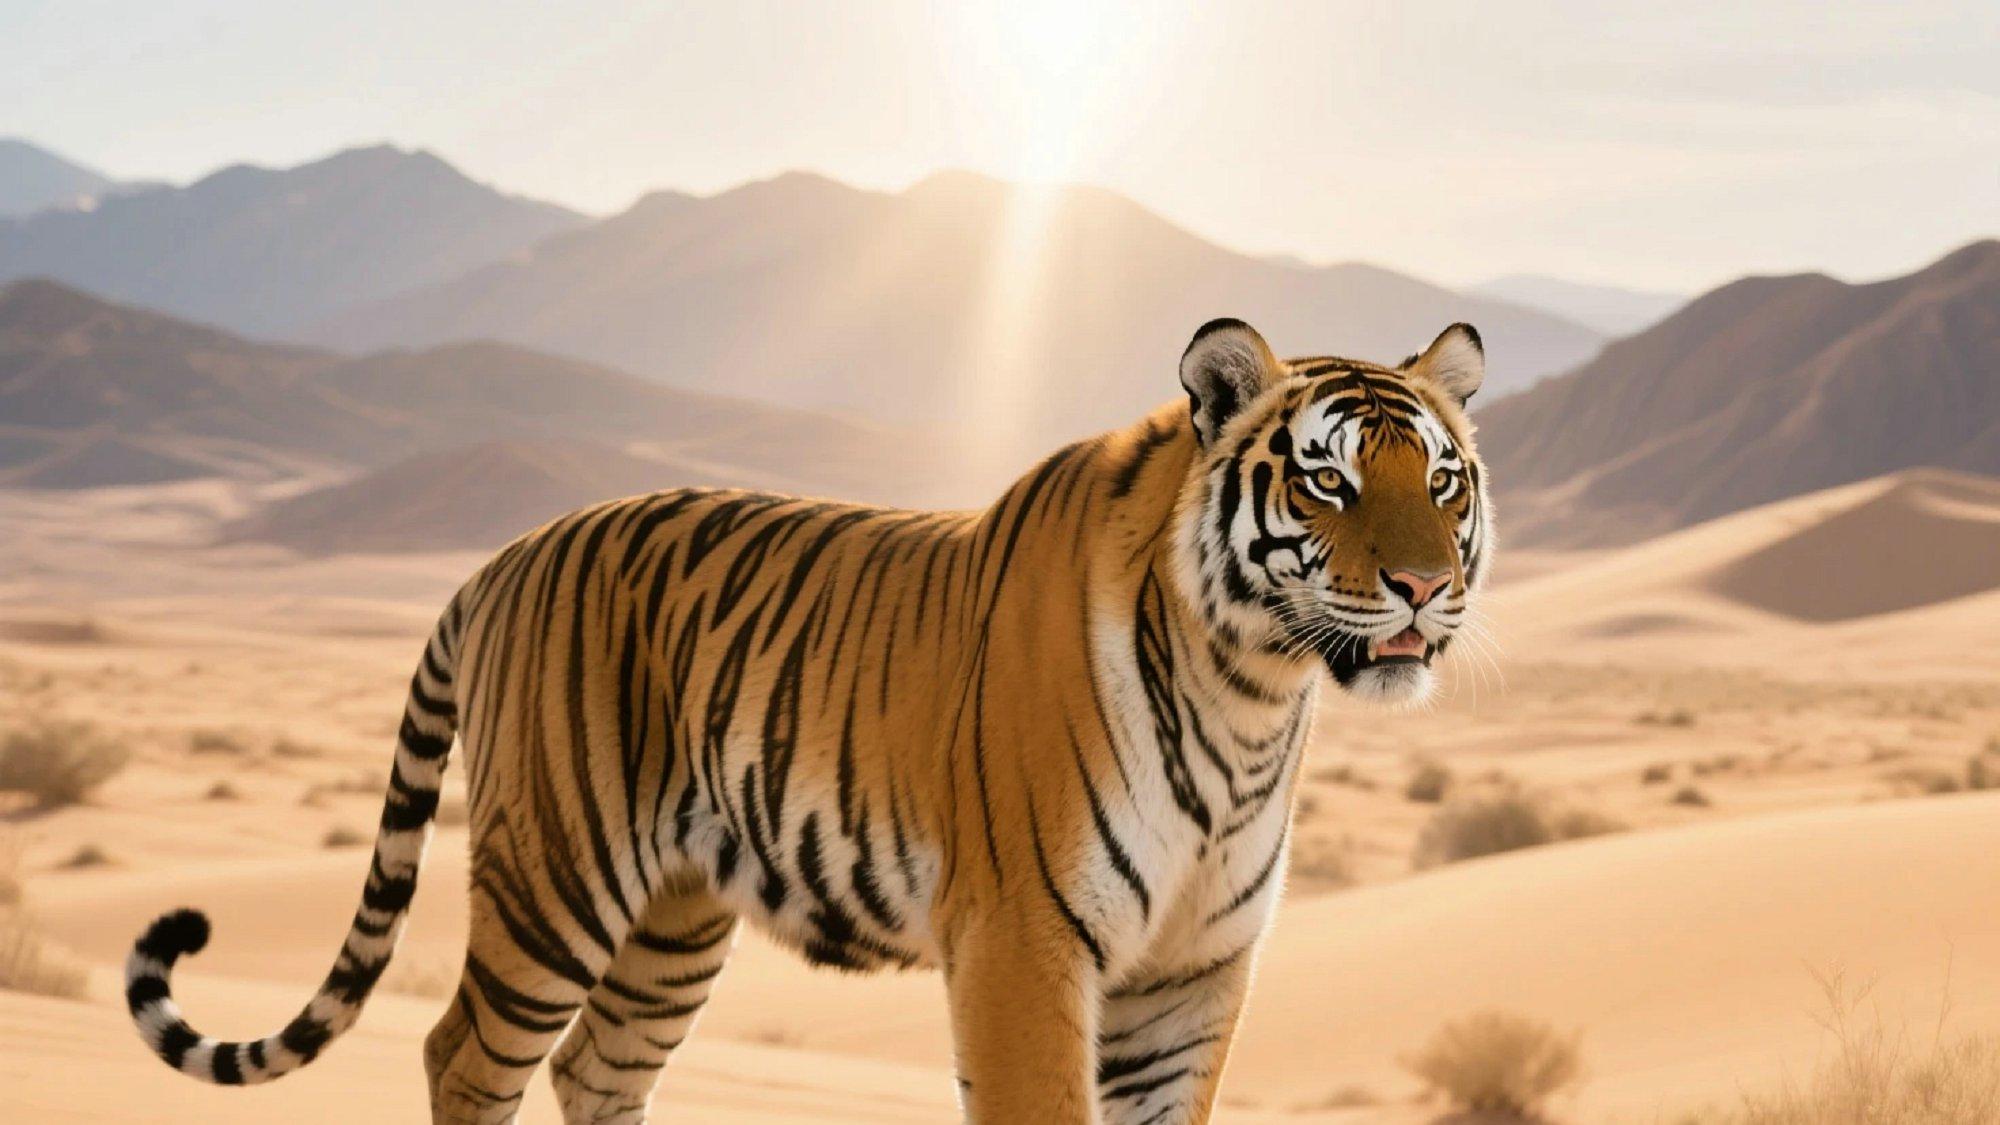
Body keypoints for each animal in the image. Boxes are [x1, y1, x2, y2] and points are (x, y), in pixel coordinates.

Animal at [124, 317, 1492, 1124]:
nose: (1424, 588)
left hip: (673, 921)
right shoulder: (1025, 945)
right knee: (463, 1055)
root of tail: (505, 553)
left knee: (592, 1067)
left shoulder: (1193, 972)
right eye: (1325, 481)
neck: (1248, 693)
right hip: (555, 877)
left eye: (1440, 479)